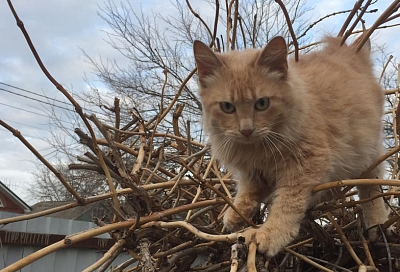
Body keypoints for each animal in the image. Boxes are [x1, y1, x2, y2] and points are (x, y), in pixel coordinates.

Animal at [192, 36, 390, 258]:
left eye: (262, 103)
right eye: (227, 107)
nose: (246, 130)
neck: (257, 148)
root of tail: (348, 53)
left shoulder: (306, 164)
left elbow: (286, 204)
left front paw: (270, 234)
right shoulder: (253, 172)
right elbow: (247, 191)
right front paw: (237, 213)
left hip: (369, 153)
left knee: (371, 190)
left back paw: (377, 226)